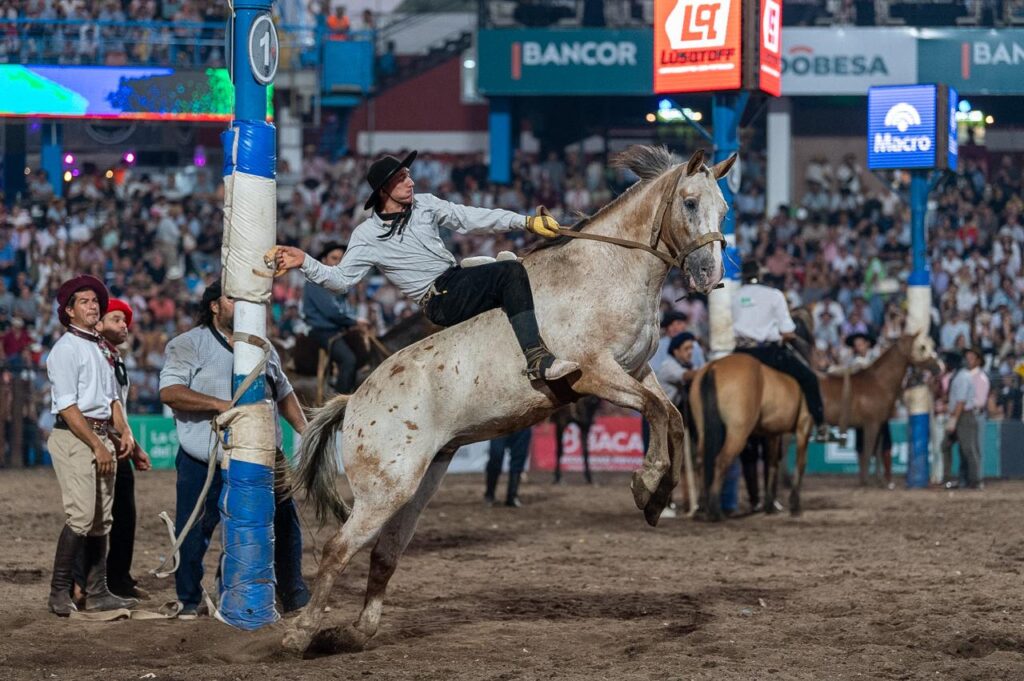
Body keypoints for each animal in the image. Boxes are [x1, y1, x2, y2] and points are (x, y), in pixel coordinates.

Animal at [282, 145, 733, 655]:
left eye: (724, 210)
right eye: (690, 203)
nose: (711, 275)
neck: (604, 269)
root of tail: (354, 400)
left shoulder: (637, 372)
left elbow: (671, 417)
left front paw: (657, 498)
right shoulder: (597, 374)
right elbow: (656, 412)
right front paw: (646, 483)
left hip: (418, 484)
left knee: (384, 553)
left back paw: (356, 631)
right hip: (384, 489)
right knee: (338, 549)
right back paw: (300, 634)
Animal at [686, 333, 939, 521]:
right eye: (923, 346)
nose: (939, 366)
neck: (875, 381)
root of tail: (714, 368)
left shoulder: (774, 433)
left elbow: (773, 464)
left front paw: (771, 505)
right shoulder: (851, 425)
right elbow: (859, 454)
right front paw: (796, 504)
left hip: (708, 432)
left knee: (701, 462)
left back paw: (702, 509)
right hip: (739, 432)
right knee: (721, 460)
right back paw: (715, 511)